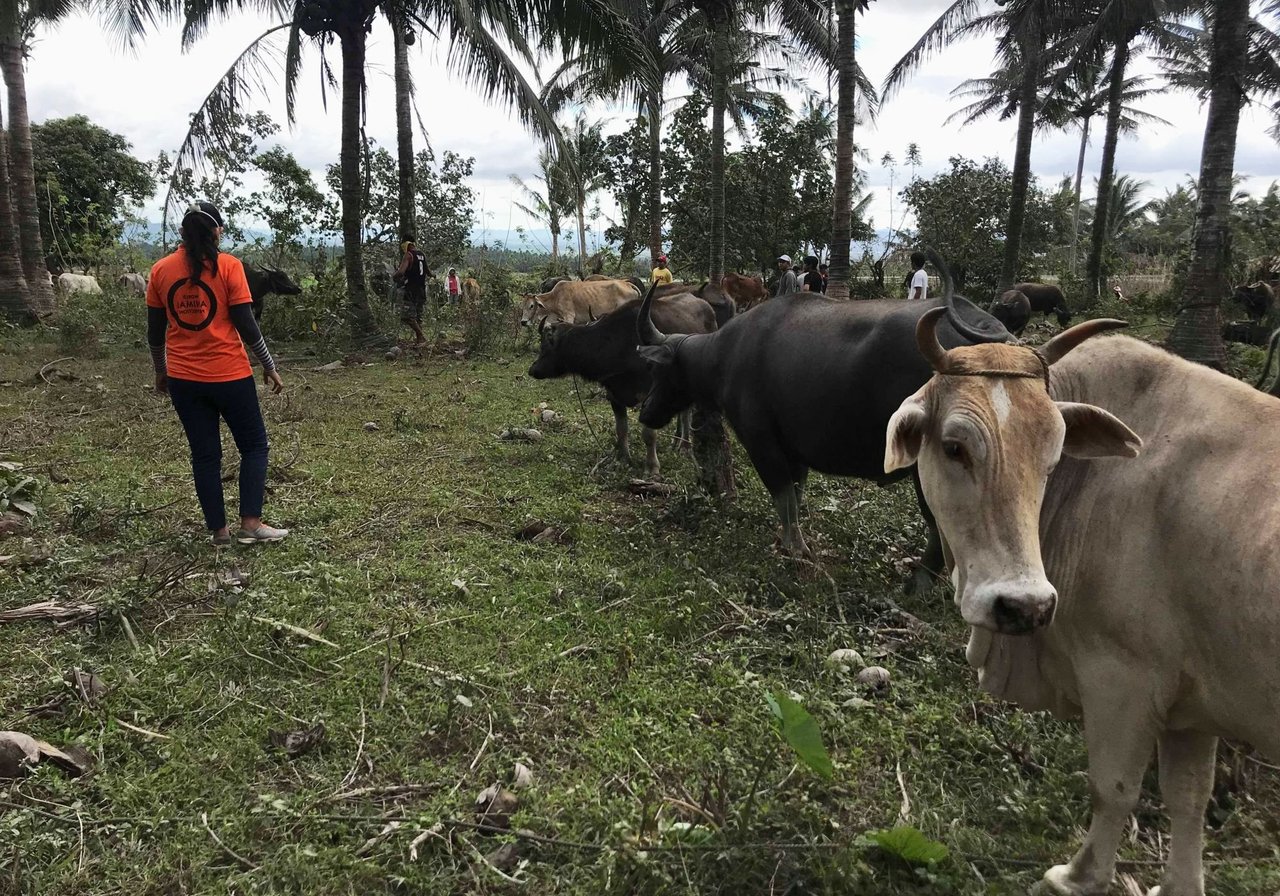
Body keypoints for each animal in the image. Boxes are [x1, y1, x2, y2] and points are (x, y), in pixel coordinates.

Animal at [524, 291, 716, 476]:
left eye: (545, 344)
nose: (533, 370)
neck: (617, 343)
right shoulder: (614, 394)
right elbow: (621, 429)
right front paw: (622, 458)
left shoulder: (649, 394)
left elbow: (649, 434)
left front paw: (652, 467)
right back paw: (676, 441)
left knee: (686, 413)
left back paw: (685, 446)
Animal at [637, 263, 1008, 588]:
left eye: (657, 370)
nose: (645, 413)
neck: (724, 356)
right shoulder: (794, 450)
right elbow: (794, 498)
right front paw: (788, 541)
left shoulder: (762, 444)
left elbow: (783, 497)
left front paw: (796, 550)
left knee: (941, 524)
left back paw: (920, 582)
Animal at [885, 308, 1280, 896]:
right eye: (955, 447)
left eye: (1053, 456)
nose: (1023, 606)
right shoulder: (1193, 708)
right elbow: (1188, 798)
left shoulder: (1123, 677)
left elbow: (1111, 789)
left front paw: (1080, 876)